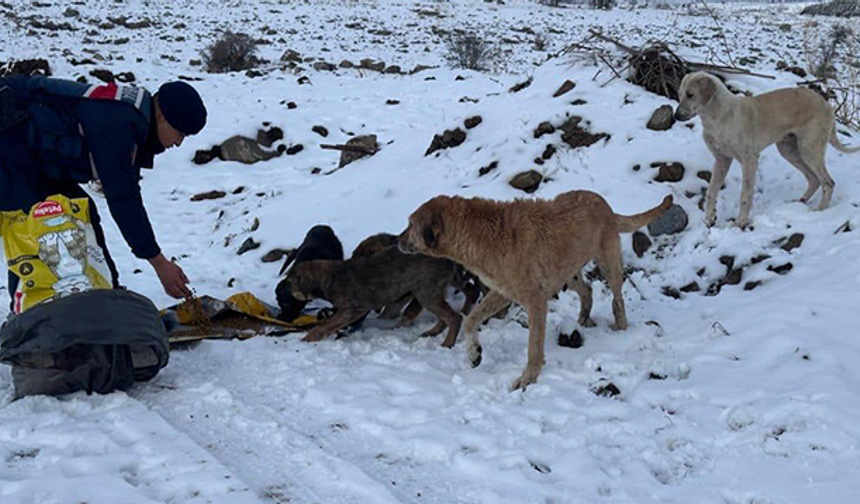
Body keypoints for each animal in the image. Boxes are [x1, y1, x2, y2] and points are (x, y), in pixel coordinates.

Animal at [396, 191, 672, 392]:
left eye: (410, 224)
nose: (396, 241)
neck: (479, 234)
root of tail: (604, 203)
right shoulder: (502, 292)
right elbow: (471, 319)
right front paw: (474, 353)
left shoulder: (536, 301)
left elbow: (533, 348)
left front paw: (527, 379)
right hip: (568, 274)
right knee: (587, 290)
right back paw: (583, 318)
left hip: (608, 263)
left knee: (617, 298)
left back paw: (622, 328)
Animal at [676, 71, 856, 228]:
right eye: (679, 94)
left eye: (690, 94)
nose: (676, 116)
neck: (719, 117)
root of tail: (827, 105)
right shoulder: (722, 160)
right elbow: (711, 191)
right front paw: (709, 218)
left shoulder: (749, 160)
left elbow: (745, 194)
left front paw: (741, 222)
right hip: (789, 150)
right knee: (813, 179)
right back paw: (800, 202)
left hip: (809, 149)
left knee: (828, 182)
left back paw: (820, 211)